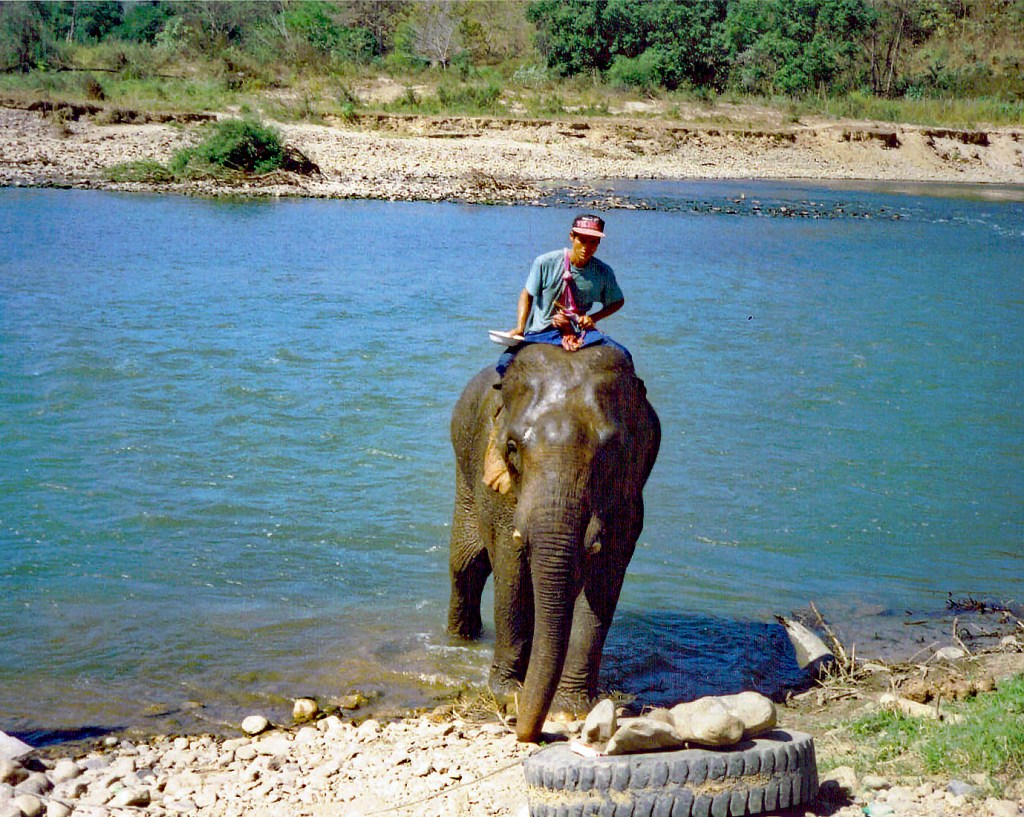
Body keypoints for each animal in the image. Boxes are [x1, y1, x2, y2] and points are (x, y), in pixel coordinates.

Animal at [447, 342, 660, 742]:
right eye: (512, 447)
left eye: (611, 451)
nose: (519, 728)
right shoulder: (498, 490)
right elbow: (511, 567)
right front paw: (507, 693)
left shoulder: (629, 496)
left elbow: (604, 580)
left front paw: (573, 707)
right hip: (464, 468)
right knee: (467, 565)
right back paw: (460, 642)